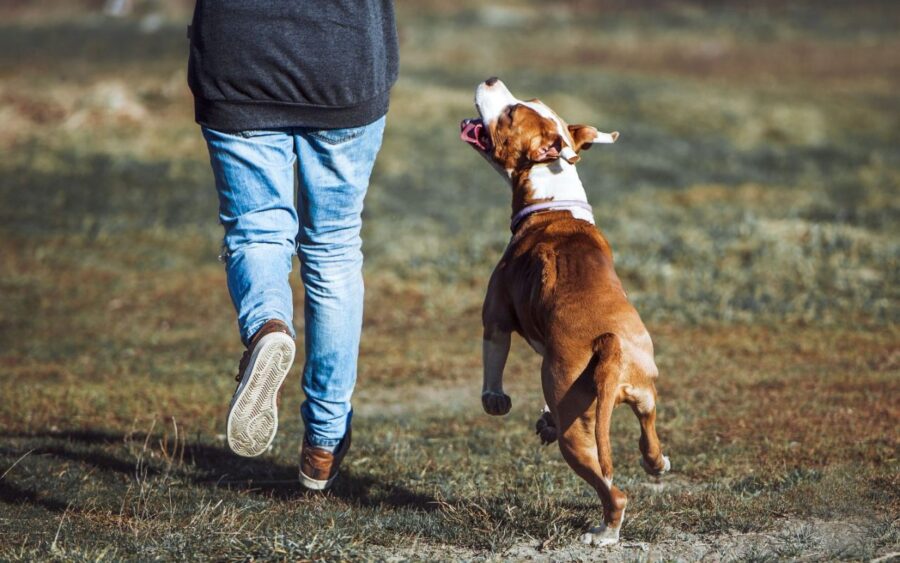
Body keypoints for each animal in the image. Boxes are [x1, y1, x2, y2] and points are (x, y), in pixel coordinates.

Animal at [464, 78, 668, 548]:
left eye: (510, 114)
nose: (491, 80)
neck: (553, 199)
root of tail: (609, 344)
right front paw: (543, 419)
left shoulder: (496, 314)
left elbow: (493, 359)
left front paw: (495, 400)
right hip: (642, 387)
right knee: (648, 428)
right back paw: (656, 463)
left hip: (579, 436)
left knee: (613, 490)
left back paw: (605, 532)